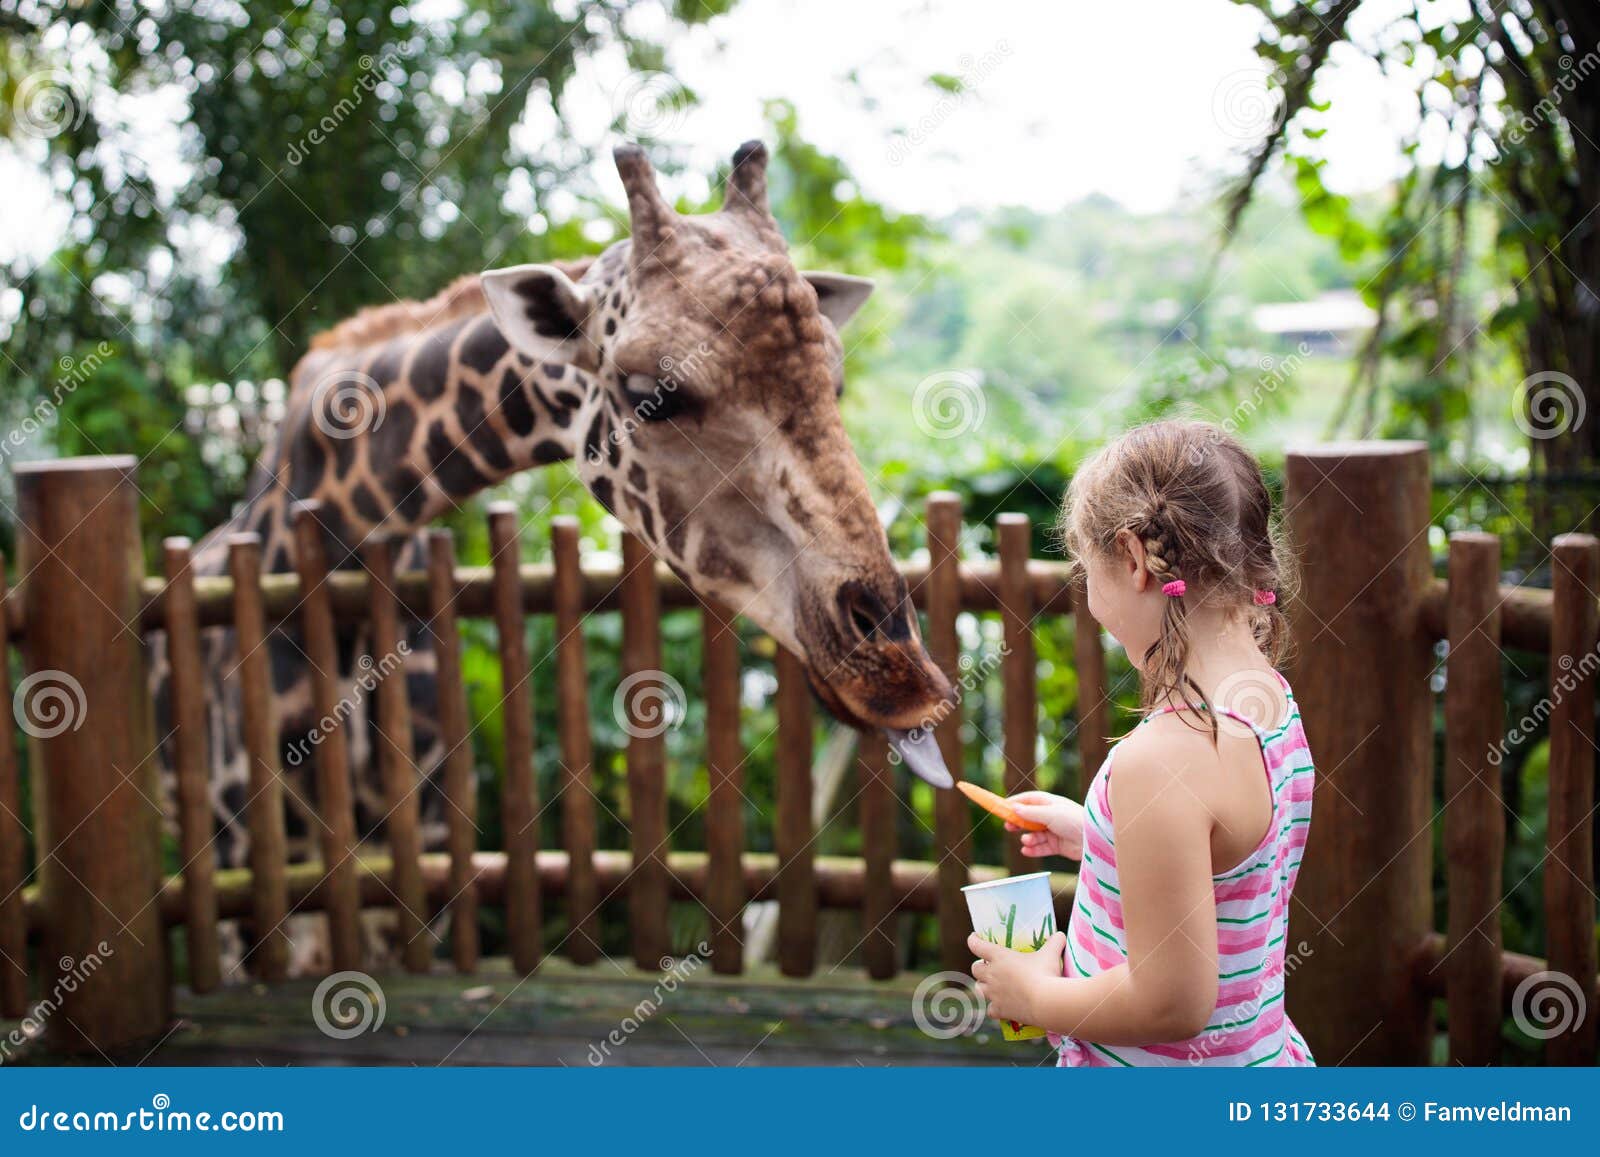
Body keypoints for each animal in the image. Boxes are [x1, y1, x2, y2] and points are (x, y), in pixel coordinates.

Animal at [152, 140, 947, 979]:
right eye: (650, 392)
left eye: (836, 380)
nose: (903, 675)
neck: (348, 542)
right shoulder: (250, 872)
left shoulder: (420, 853)